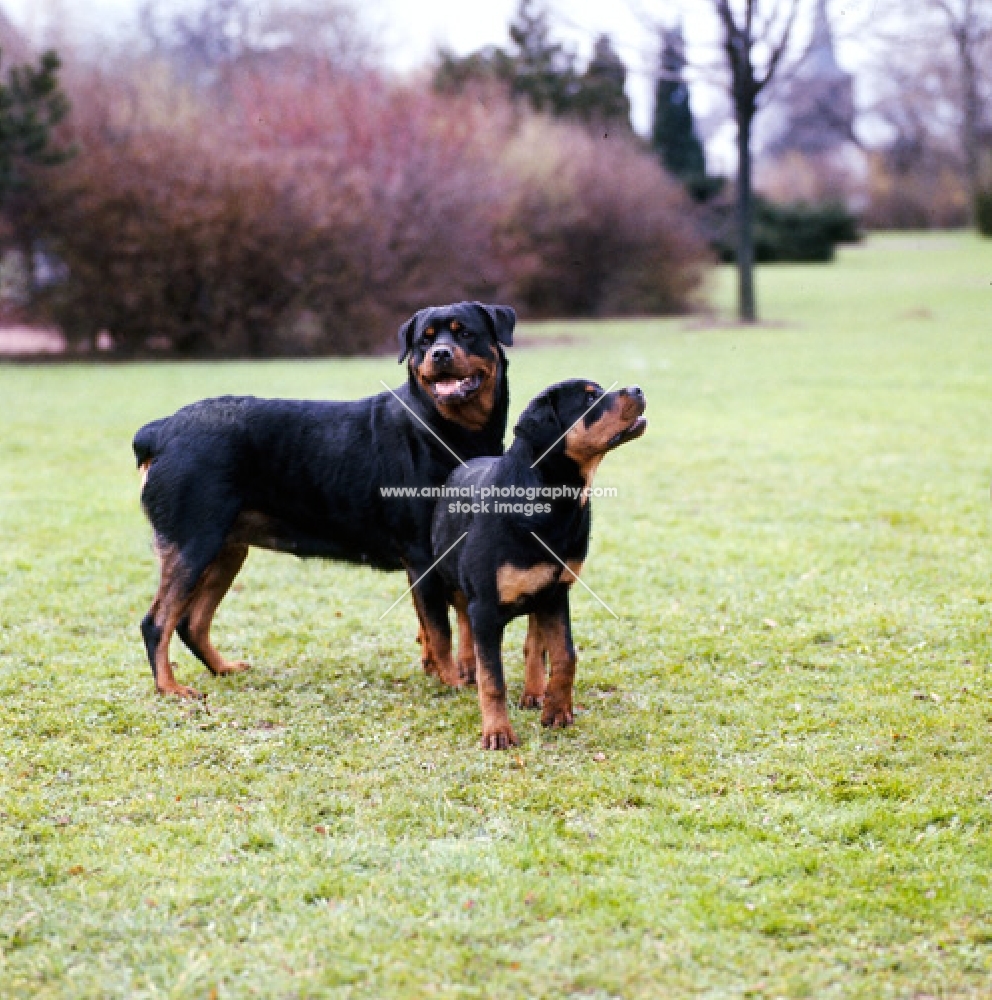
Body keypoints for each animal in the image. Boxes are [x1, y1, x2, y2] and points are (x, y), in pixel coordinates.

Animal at [133, 300, 516, 700]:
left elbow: (445, 624)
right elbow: (441, 630)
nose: (440, 353)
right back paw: (170, 687)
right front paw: (453, 682)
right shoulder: (423, 554)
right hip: (193, 543)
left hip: (226, 549)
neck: (443, 426)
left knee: (191, 622)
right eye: (423, 342)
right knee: (156, 621)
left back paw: (222, 669)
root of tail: (161, 431)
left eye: (465, 333)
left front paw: (448, 672)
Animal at [430, 378, 648, 748]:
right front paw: (497, 732)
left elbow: (564, 656)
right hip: (450, 579)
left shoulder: (557, 593)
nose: (637, 389)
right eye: (590, 398)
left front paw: (557, 711)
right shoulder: (484, 607)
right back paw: (467, 666)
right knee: (461, 619)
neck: (555, 500)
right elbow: (493, 678)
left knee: (534, 642)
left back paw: (534, 692)